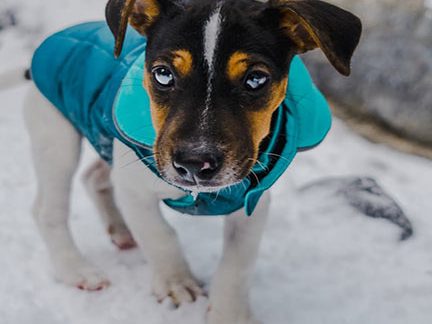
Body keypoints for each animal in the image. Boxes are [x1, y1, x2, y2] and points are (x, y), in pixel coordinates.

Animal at [23, 0, 362, 322]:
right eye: (163, 74)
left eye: (256, 79)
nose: (195, 163)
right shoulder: (135, 189)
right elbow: (160, 235)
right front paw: (176, 284)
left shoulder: (253, 201)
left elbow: (238, 264)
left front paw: (230, 314)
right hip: (55, 137)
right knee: (48, 211)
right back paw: (76, 270)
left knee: (93, 177)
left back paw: (120, 231)